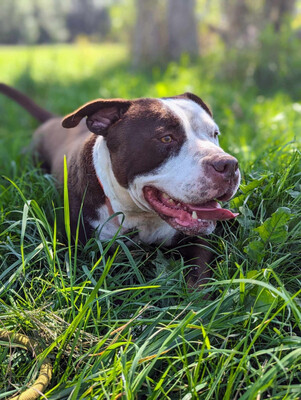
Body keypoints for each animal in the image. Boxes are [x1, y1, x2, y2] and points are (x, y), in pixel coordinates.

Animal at [0, 83, 239, 288]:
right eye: (166, 138)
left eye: (215, 134)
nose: (228, 164)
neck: (140, 215)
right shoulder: (84, 252)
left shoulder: (198, 239)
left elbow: (199, 276)